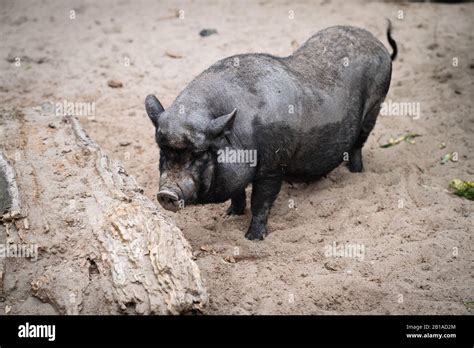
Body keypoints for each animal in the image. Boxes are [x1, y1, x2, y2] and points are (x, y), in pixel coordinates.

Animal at [145, 21, 396, 239]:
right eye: (163, 152)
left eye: (198, 155)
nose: (166, 193)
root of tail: (378, 44)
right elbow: (238, 193)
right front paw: (230, 215)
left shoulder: (273, 166)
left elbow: (261, 201)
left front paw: (252, 238)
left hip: (375, 105)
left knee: (358, 145)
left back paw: (356, 173)